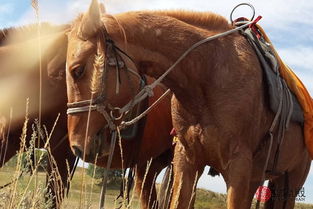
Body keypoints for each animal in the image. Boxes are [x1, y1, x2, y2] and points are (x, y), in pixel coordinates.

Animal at [65, 0, 310, 208]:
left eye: (77, 70)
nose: (77, 146)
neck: (208, 74)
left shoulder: (238, 168)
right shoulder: (186, 162)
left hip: (291, 180)